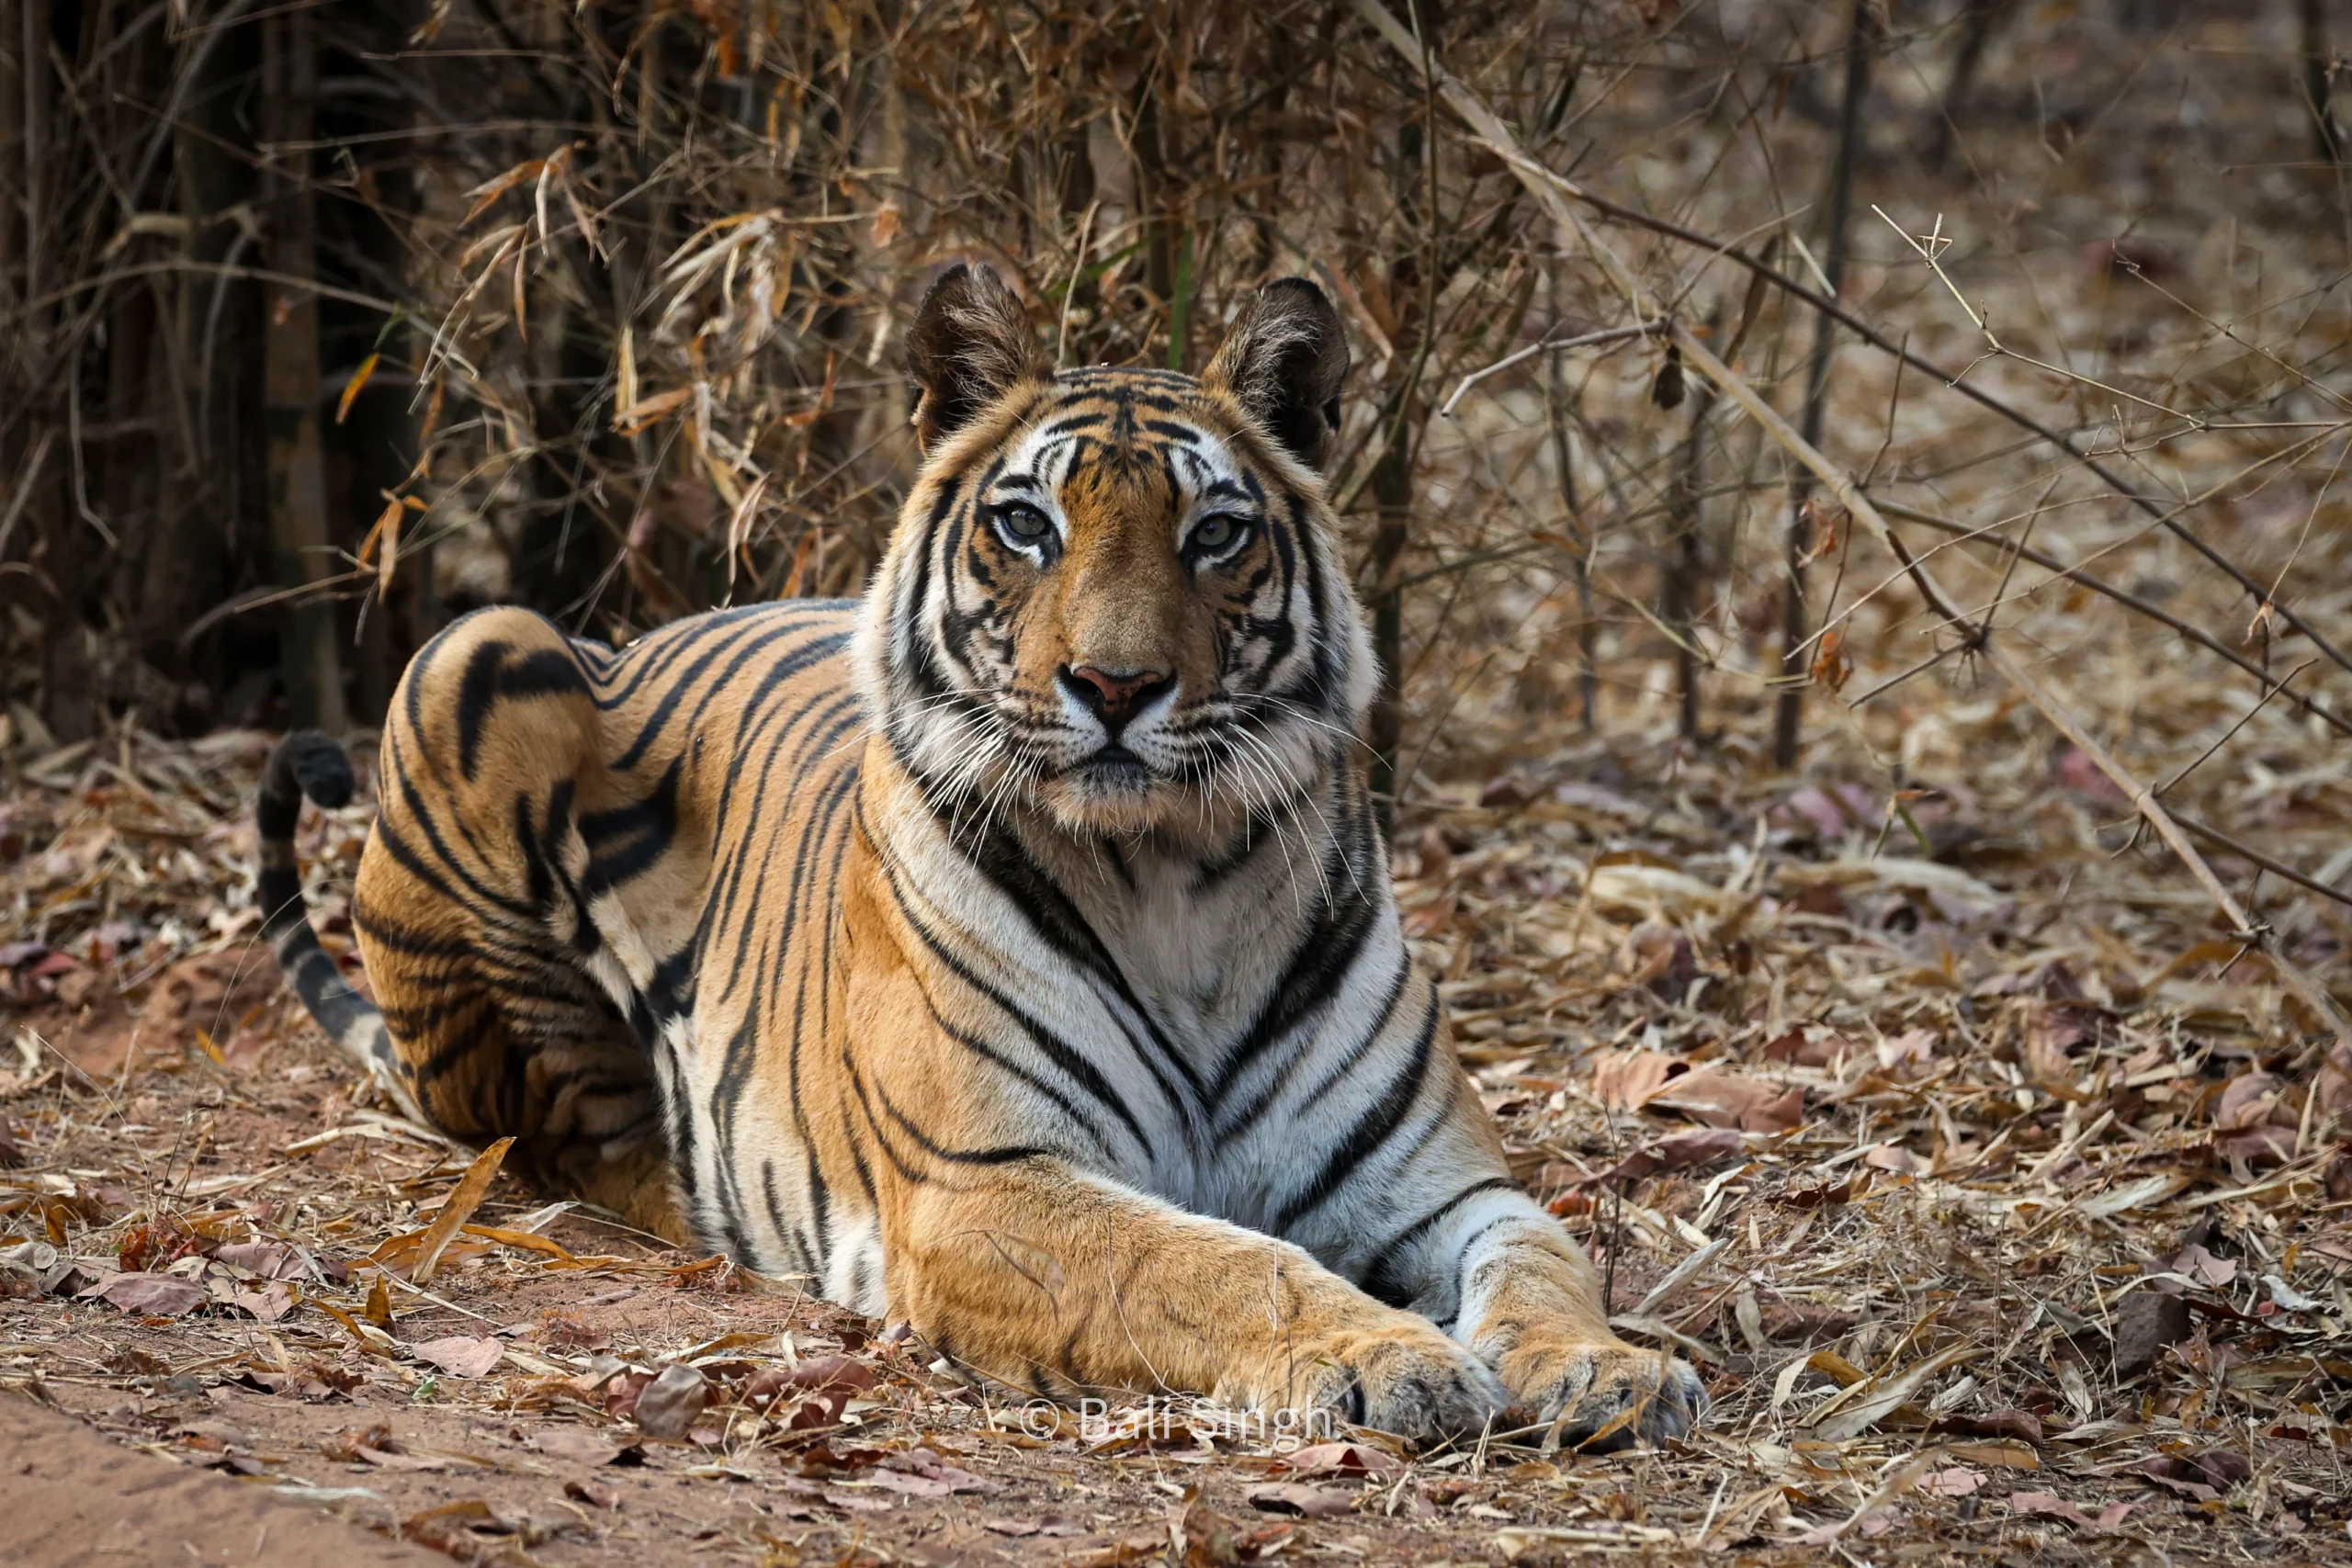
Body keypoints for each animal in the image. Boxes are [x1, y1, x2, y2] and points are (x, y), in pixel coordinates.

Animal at [255, 265, 1704, 1448]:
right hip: (478, 653)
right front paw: (1388, 1357)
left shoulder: (1437, 1183)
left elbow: (1546, 1253)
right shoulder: (987, 1184)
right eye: (1027, 525)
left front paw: (1611, 1369)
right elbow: (1224, 1263)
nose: (1114, 684)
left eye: (1214, 533)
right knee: (569, 1138)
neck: (1180, 877)